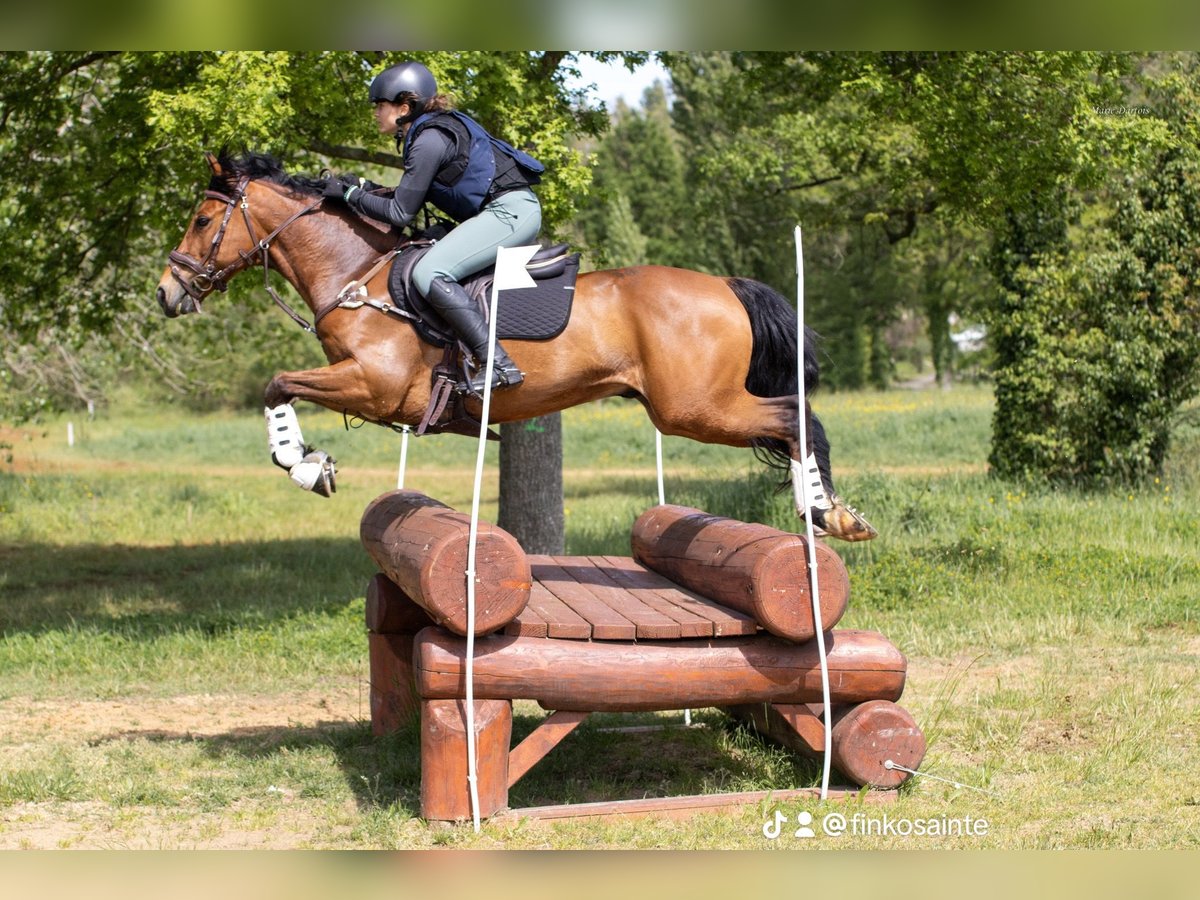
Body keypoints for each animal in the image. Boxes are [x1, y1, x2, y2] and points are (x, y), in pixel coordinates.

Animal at [154, 152, 878, 542]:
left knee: (796, 416)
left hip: (694, 408)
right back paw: (828, 513)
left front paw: (303, 463)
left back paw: (827, 513)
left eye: (201, 220)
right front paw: (311, 460)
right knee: (792, 421)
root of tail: (725, 285)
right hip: (695, 406)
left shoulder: (377, 386)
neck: (357, 274)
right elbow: (281, 385)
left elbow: (276, 382)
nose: (167, 292)